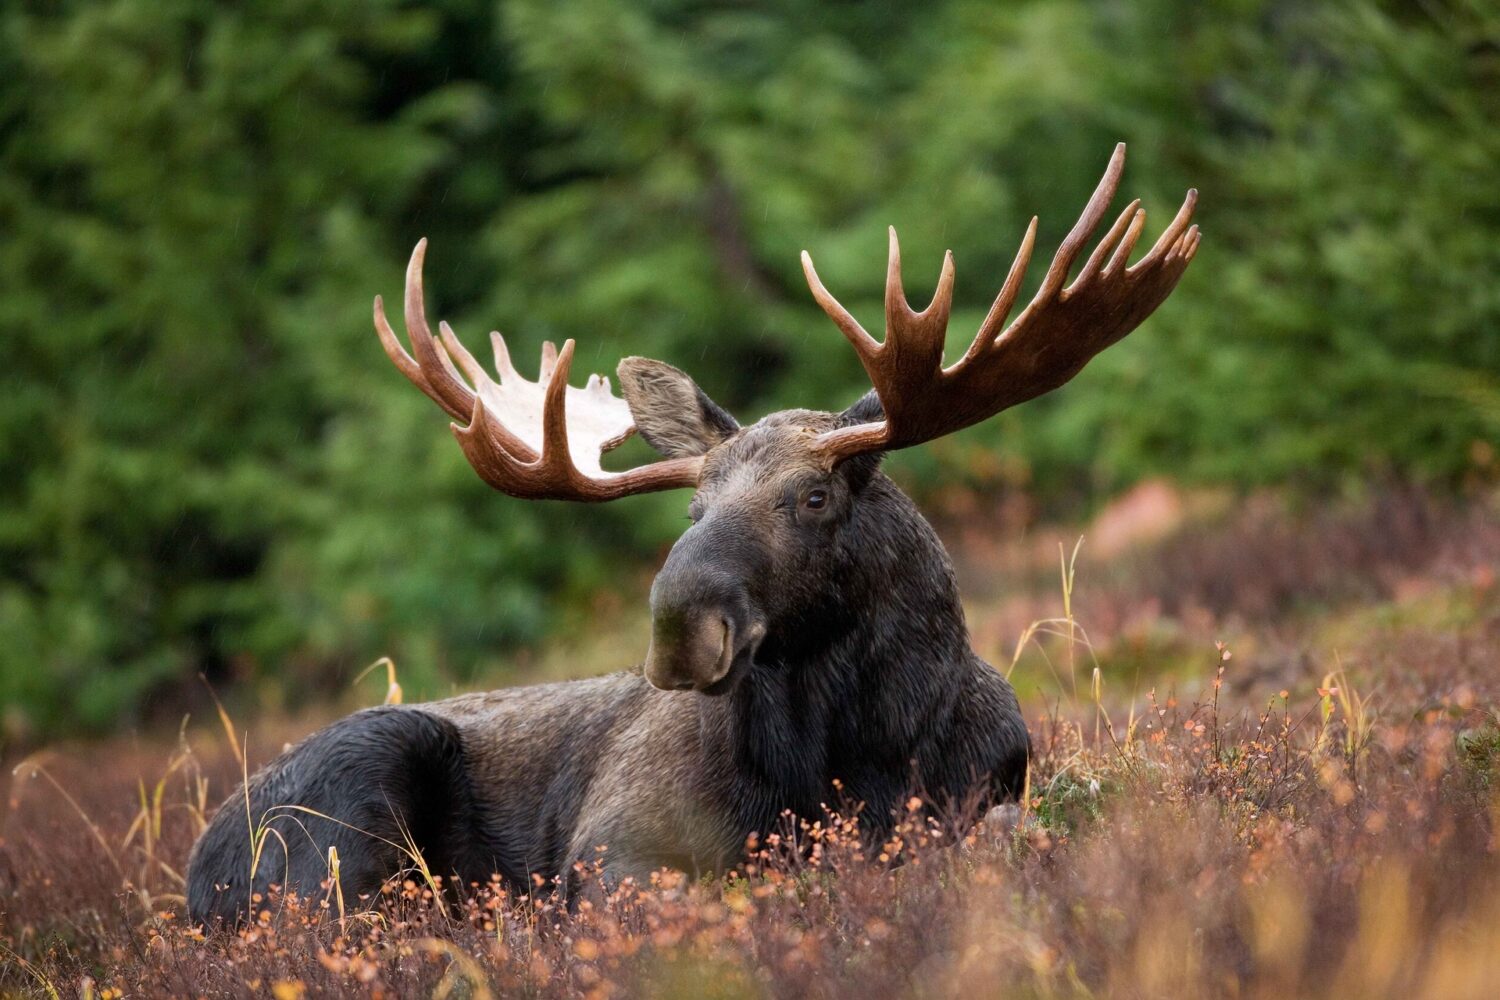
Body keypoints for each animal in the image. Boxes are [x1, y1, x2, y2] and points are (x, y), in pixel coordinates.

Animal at [187, 144, 1200, 929]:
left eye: (813, 497)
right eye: (692, 509)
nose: (680, 626)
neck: (857, 755)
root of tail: (197, 874)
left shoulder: (990, 793)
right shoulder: (613, 848)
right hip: (351, 803)